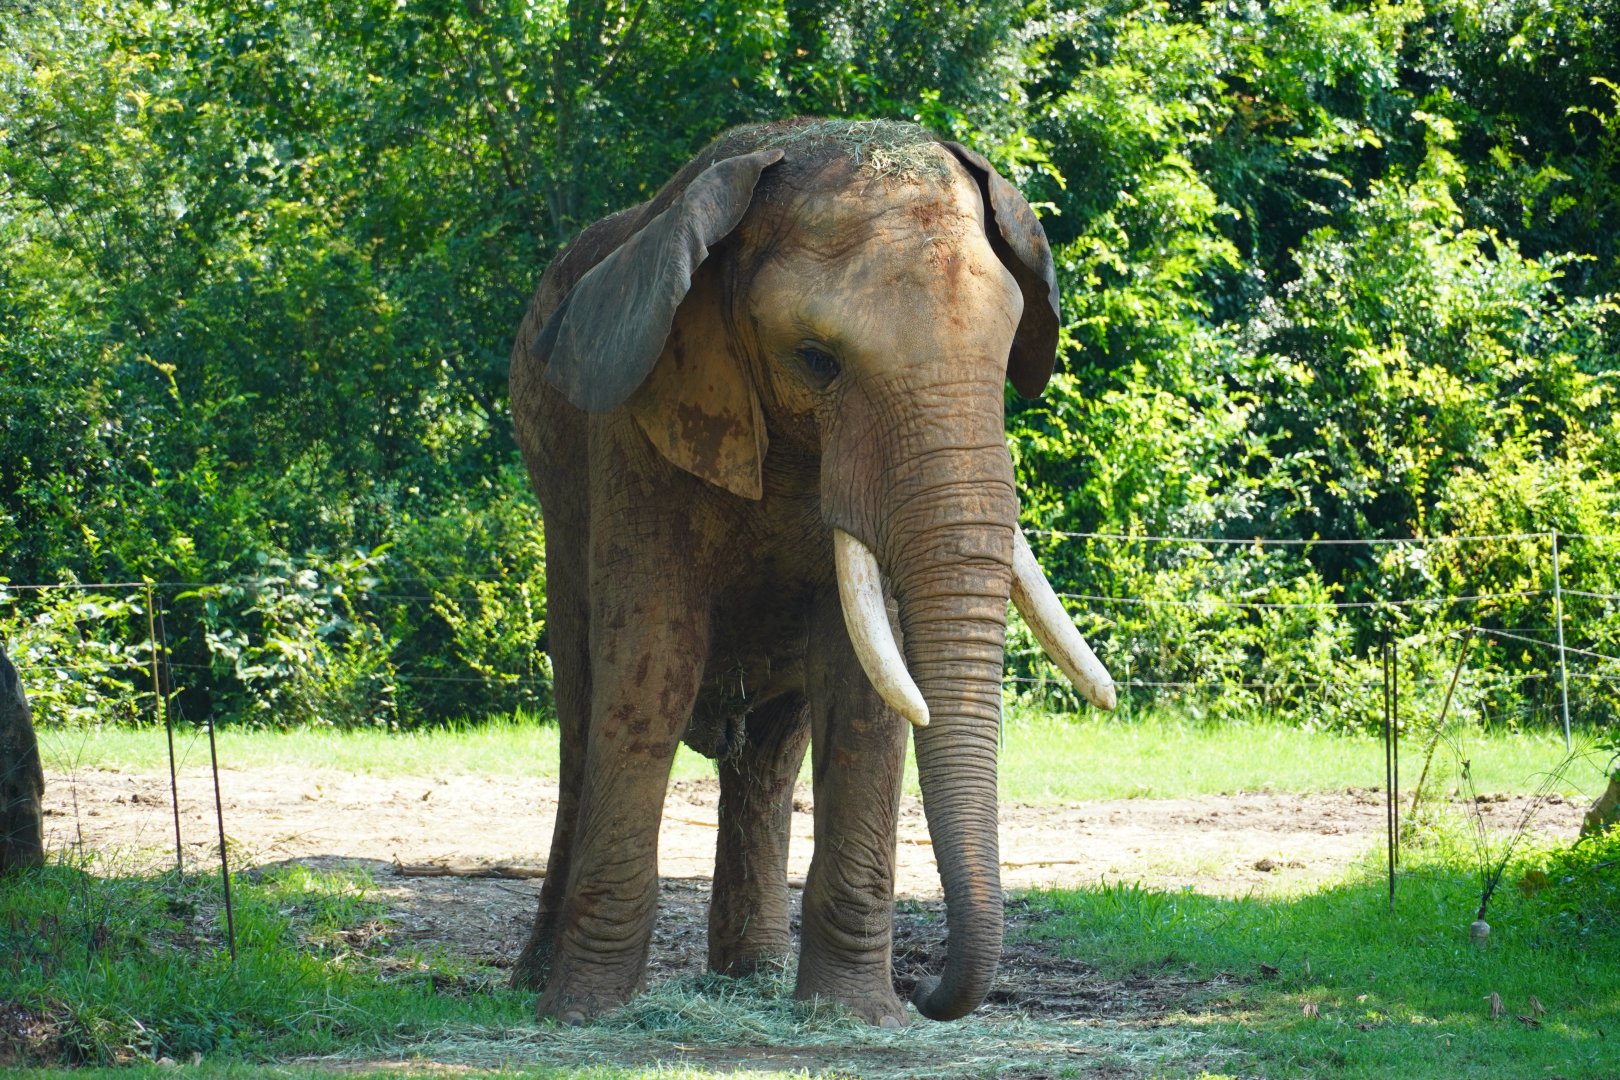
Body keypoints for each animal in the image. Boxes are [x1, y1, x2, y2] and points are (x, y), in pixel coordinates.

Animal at [507, 118, 1115, 1027]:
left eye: (1008, 350)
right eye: (816, 359)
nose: (928, 992)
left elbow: (861, 687)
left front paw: (854, 1016)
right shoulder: (633, 429)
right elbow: (653, 663)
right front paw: (585, 1014)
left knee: (770, 748)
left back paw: (750, 979)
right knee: (584, 705)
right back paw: (538, 984)